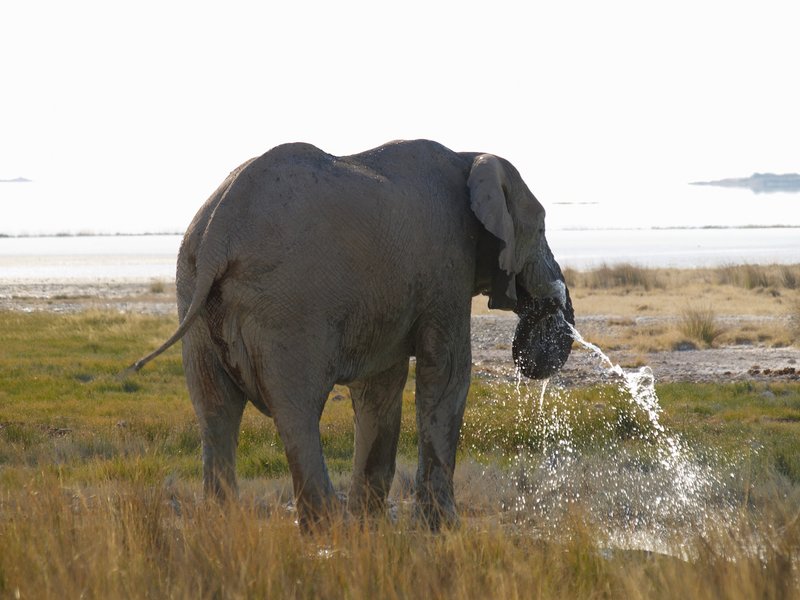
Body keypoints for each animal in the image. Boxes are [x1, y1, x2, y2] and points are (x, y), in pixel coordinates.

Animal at [131, 139, 575, 529]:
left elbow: (380, 387)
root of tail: (216, 233)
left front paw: (371, 527)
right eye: (541, 229)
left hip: (192, 295)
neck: (470, 156)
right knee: (297, 411)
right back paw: (326, 528)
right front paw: (443, 529)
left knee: (215, 411)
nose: (542, 315)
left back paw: (225, 527)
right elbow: (446, 374)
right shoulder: (447, 266)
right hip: (288, 306)